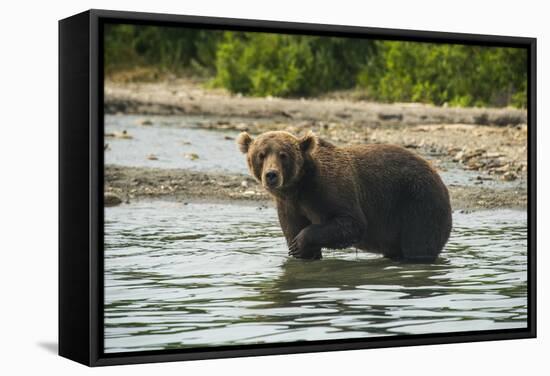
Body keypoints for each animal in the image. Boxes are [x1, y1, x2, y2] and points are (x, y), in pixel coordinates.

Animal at [237, 131, 452, 262]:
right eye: (261, 155)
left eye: (283, 155)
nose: (271, 175)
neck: (299, 186)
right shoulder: (289, 205)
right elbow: (293, 229)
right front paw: (299, 251)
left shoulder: (330, 189)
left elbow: (351, 223)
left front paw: (299, 243)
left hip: (418, 202)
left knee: (419, 242)